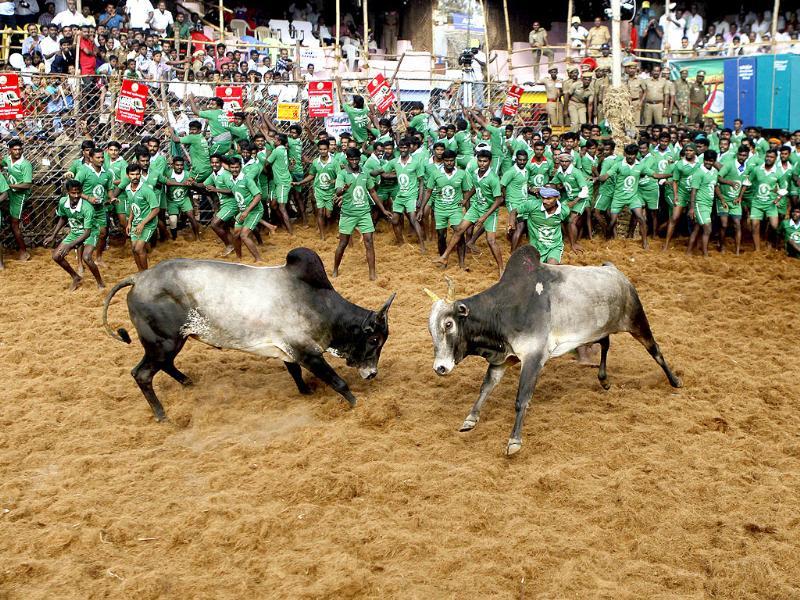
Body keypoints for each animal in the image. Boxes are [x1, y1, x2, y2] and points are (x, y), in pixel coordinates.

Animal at [103, 246, 396, 420]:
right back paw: (161, 413)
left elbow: (295, 374)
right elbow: (338, 382)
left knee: (164, 366)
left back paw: (186, 382)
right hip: (163, 342)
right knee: (141, 374)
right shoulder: (308, 353)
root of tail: (139, 278)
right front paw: (358, 405)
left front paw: (306, 392)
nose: (373, 373)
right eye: (374, 339)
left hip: (171, 342)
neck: (319, 305)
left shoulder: (289, 352)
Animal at [424, 246, 680, 458]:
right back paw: (604, 379)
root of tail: (614, 270)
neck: (505, 309)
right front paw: (470, 419)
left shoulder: (534, 358)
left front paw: (514, 442)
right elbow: (486, 387)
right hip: (598, 329)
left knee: (655, 350)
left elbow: (522, 399)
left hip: (637, 321)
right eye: (431, 329)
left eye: (449, 324)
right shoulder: (503, 359)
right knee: (606, 344)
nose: (440, 368)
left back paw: (675, 381)